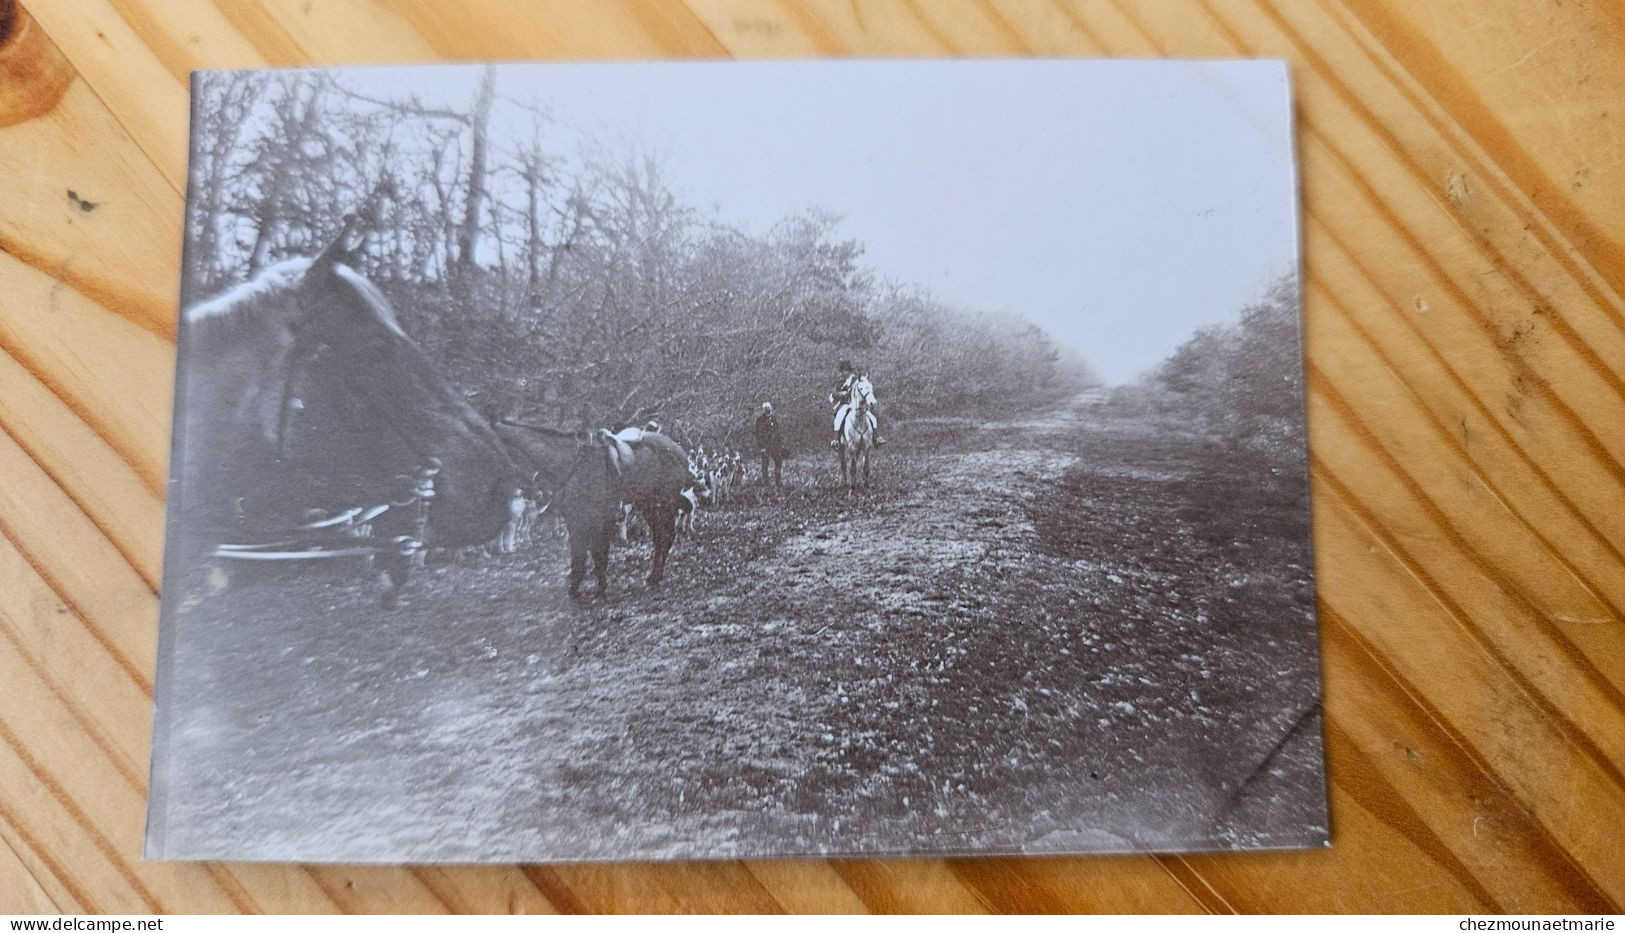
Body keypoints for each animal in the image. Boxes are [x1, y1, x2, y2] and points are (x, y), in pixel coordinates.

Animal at [487, 422, 692, 604]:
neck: (571, 463)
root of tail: (680, 452)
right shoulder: (575, 521)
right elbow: (581, 556)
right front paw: (580, 589)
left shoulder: (594, 520)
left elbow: (596, 555)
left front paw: (598, 590)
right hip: (649, 505)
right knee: (661, 537)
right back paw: (654, 577)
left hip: (663, 504)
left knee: (666, 536)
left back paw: (656, 576)